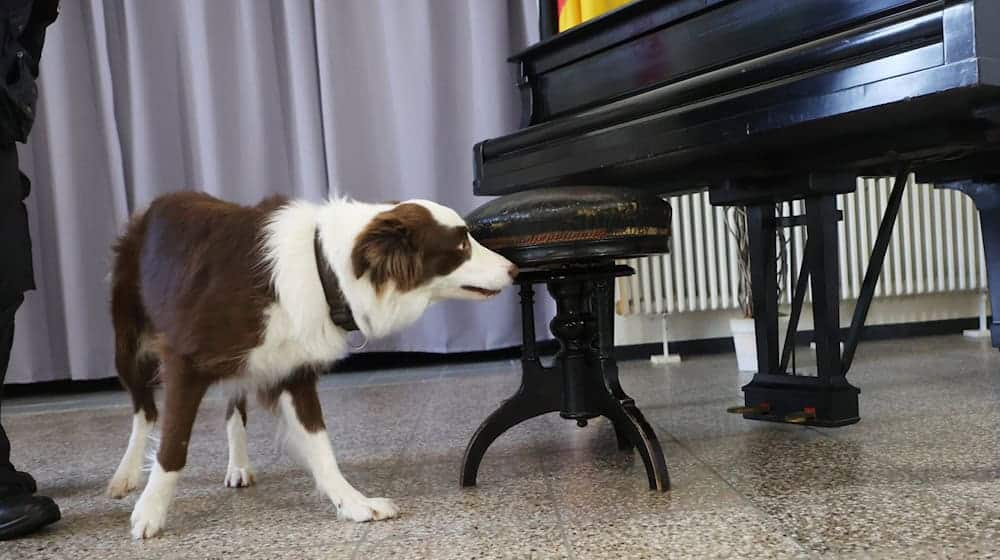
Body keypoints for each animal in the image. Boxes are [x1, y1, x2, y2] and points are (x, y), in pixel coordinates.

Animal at [105, 192, 516, 540]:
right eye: (461, 246)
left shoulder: (293, 371)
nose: (513, 269)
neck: (325, 269)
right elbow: (173, 445)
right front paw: (150, 513)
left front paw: (353, 502)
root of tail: (156, 203)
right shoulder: (186, 361)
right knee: (145, 410)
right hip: (129, 345)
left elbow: (321, 446)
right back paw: (126, 474)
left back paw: (238, 465)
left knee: (234, 406)